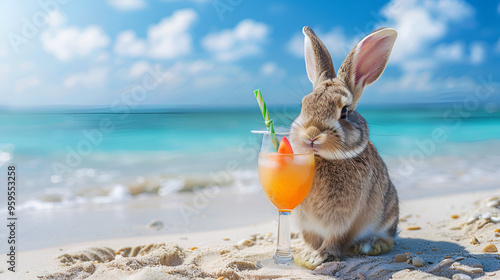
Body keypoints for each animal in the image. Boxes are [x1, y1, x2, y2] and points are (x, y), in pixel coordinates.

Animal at [290, 25, 398, 266]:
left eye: (345, 112)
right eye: (303, 105)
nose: (312, 134)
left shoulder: (342, 220)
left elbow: (335, 238)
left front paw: (320, 256)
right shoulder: (304, 221)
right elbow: (309, 237)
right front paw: (306, 254)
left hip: (387, 213)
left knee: (389, 240)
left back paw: (371, 246)